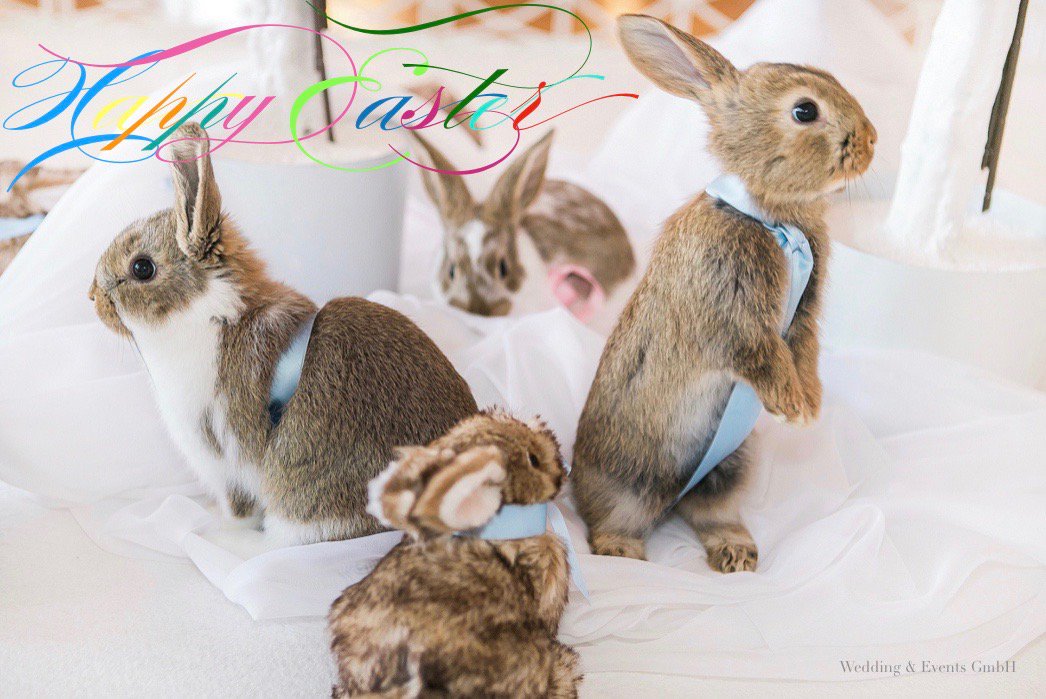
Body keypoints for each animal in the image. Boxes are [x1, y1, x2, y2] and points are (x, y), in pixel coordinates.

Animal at [88, 122, 477, 545]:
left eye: (142, 268)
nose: (92, 297)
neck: (212, 317)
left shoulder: (225, 458)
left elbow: (238, 508)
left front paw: (221, 534)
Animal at [571, 15, 876, 571]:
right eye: (804, 111)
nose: (871, 140)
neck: (772, 215)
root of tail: (669, 499)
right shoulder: (731, 314)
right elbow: (761, 354)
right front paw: (794, 408)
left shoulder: (803, 320)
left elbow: (805, 352)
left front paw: (811, 404)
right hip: (630, 479)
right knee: (613, 519)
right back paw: (624, 552)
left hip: (731, 465)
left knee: (711, 512)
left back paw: (737, 553)